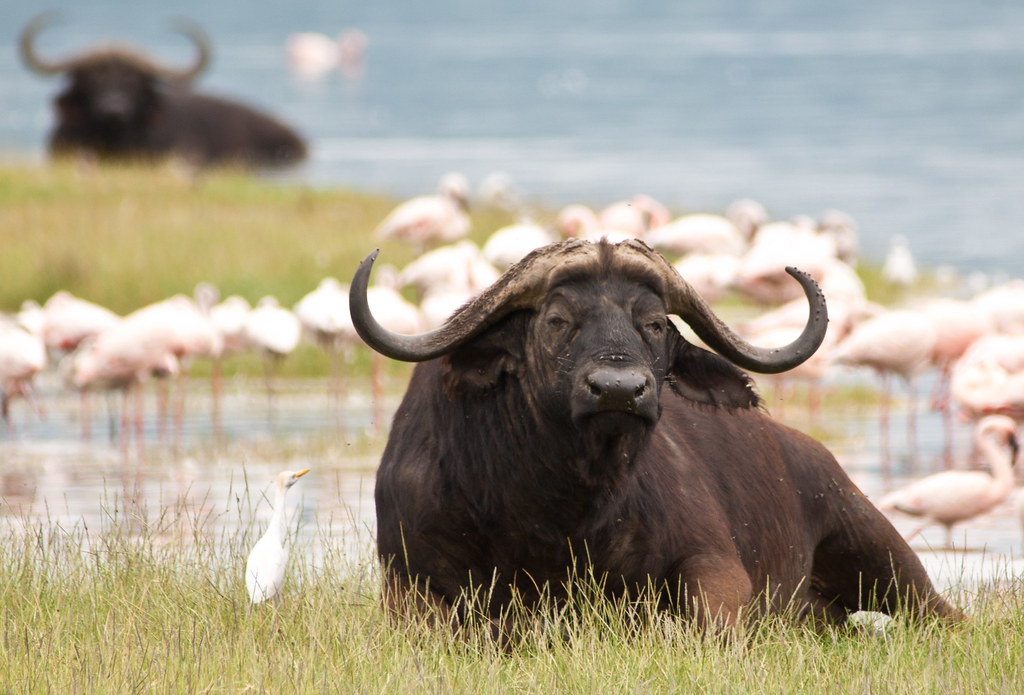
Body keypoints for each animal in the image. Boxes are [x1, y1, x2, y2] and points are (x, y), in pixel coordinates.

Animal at [350, 238, 962, 635]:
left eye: (656, 323)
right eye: (557, 319)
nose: (618, 390)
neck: (554, 512)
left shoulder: (714, 564)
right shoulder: (408, 579)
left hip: (876, 545)